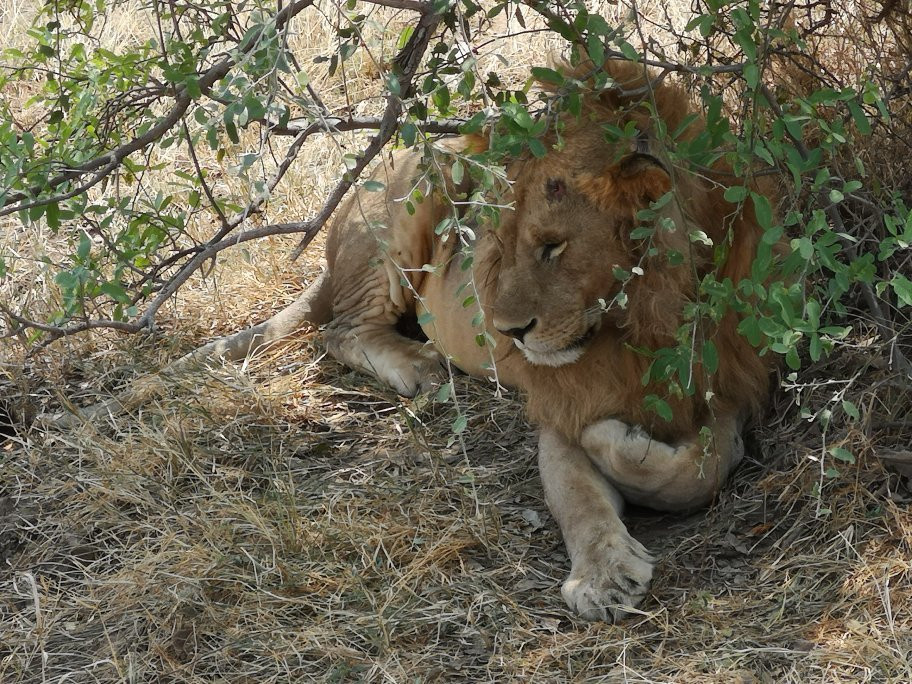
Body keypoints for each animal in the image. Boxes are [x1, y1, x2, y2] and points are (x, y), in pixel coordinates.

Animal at [60, 61, 776, 624]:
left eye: (553, 246)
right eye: (497, 243)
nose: (509, 332)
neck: (635, 327)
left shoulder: (735, 385)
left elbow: (700, 468)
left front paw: (636, 457)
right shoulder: (558, 410)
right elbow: (580, 498)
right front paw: (601, 574)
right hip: (411, 200)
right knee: (339, 330)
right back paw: (419, 367)